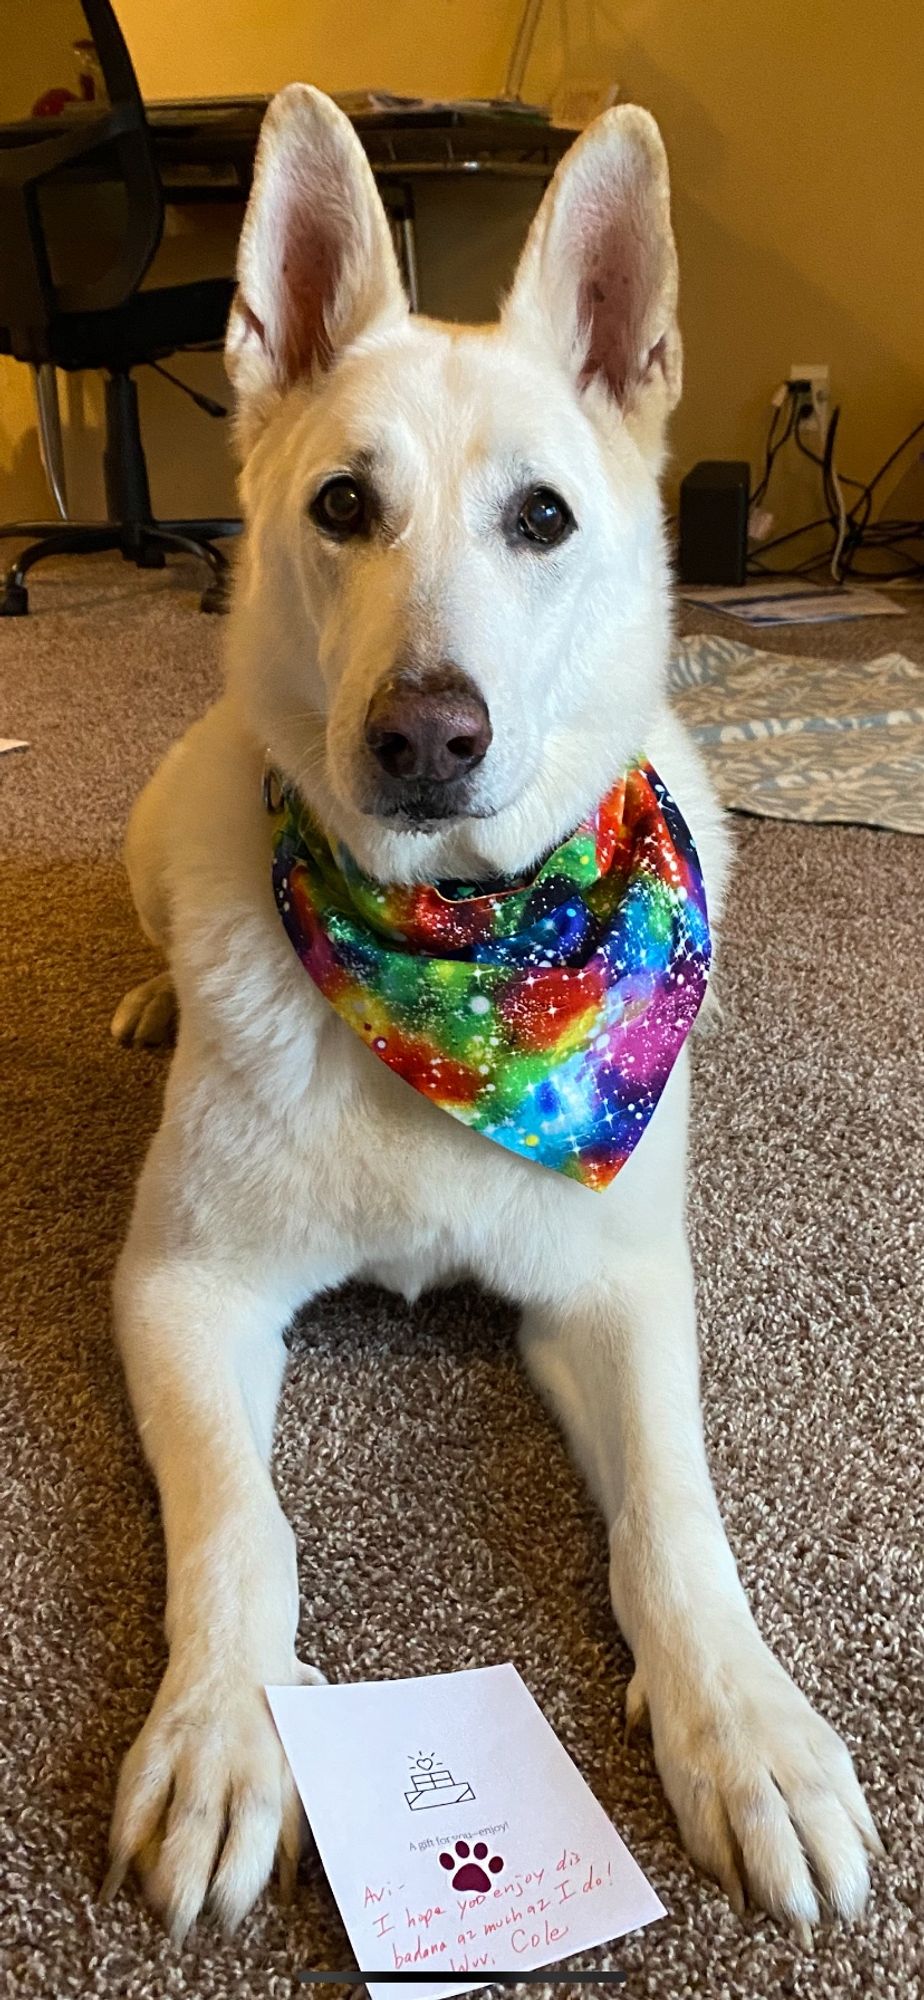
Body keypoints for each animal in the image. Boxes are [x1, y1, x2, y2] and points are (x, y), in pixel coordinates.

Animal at [103, 86, 880, 1944]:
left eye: (541, 520)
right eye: (340, 504)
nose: (423, 739)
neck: (456, 952)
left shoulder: (617, 1291)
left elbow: (674, 1517)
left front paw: (743, 1728)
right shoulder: (181, 1293)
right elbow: (240, 1530)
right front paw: (224, 1730)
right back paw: (156, 991)